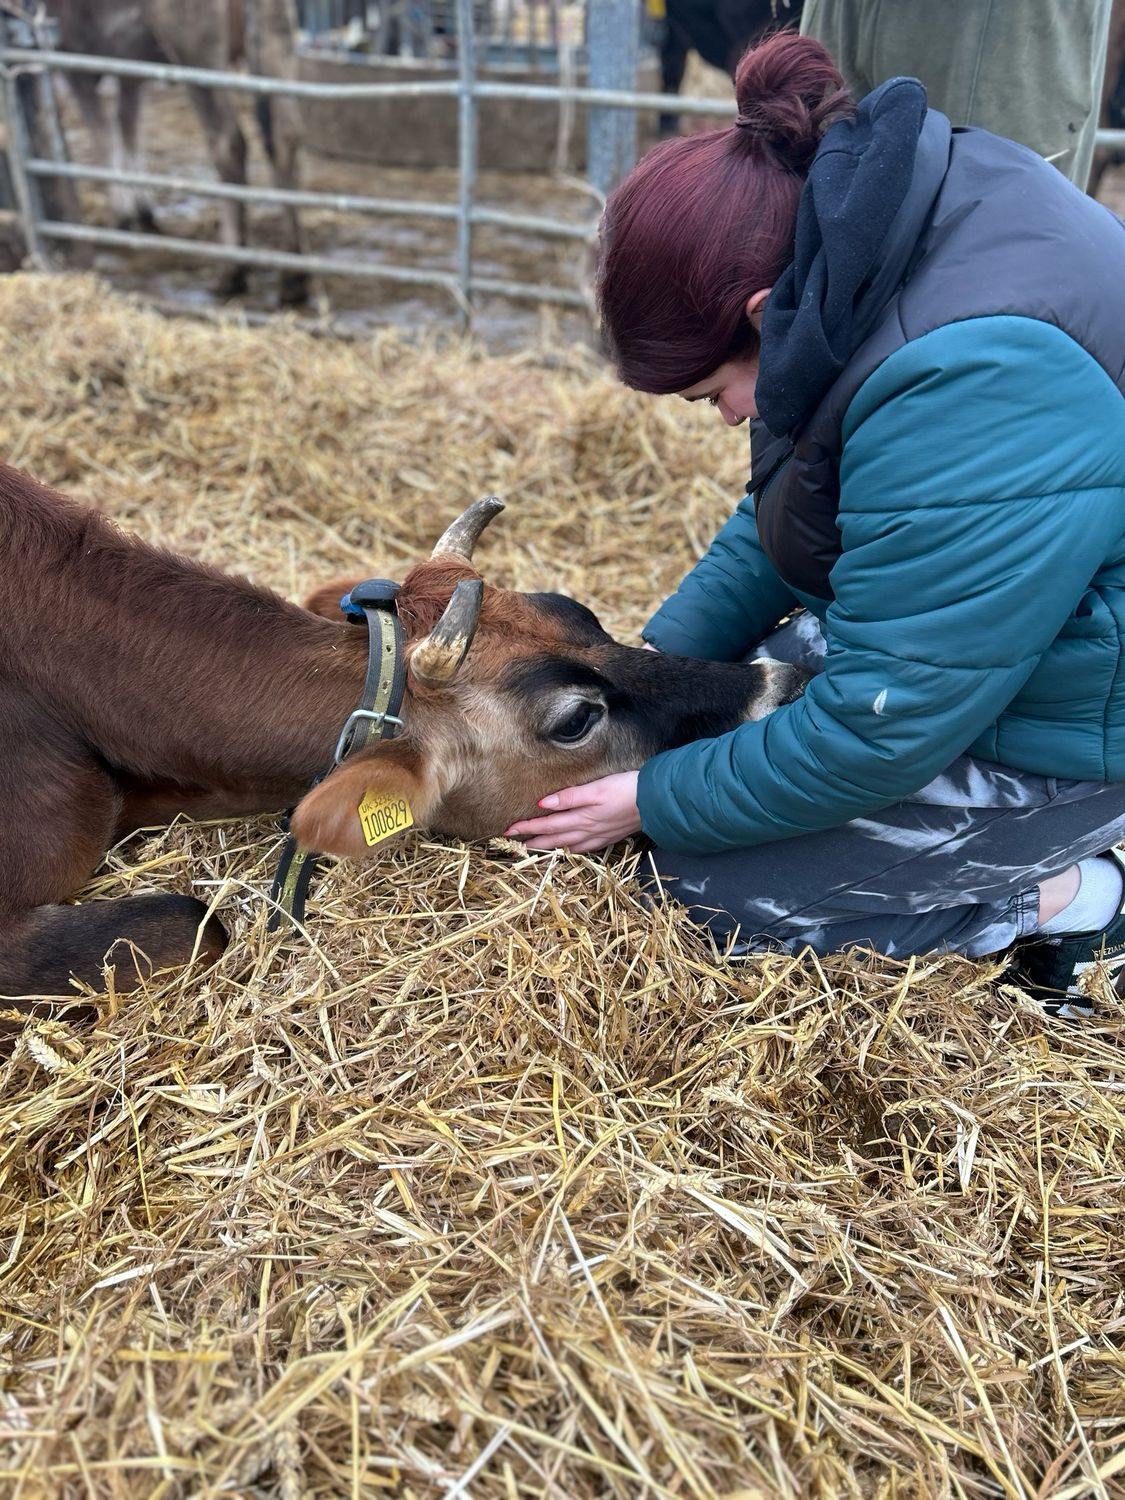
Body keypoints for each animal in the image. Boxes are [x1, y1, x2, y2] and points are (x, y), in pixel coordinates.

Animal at [49, 0, 308, 305]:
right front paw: (142, 209)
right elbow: (128, 127)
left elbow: (105, 137)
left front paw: (122, 215)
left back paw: (233, 269)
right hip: (275, 39)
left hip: (195, 50)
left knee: (228, 141)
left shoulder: (74, 56)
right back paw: (293, 276)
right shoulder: (128, 70)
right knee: (285, 138)